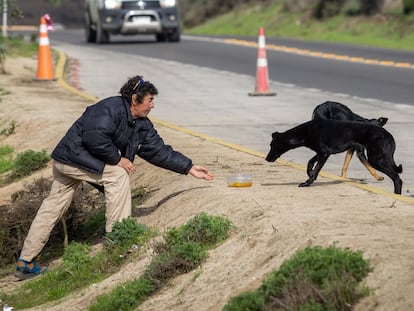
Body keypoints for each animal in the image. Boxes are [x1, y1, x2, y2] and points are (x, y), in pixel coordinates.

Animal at [264, 119, 402, 195]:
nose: (267, 159)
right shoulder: (322, 153)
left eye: (272, 145)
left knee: (397, 178)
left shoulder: (324, 153)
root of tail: (387, 134)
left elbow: (316, 169)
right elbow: (310, 163)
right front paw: (309, 173)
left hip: (376, 160)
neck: (306, 131)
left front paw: (307, 182)